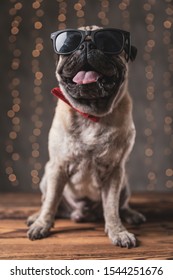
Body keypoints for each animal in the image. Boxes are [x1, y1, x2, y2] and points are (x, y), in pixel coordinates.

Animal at [27, 25, 146, 247]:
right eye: (69, 43)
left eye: (108, 42)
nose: (87, 45)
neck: (91, 114)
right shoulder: (58, 166)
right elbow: (50, 203)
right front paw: (42, 224)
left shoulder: (114, 171)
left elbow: (111, 207)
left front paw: (118, 231)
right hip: (47, 176)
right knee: (49, 201)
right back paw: (36, 217)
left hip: (124, 181)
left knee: (121, 205)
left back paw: (131, 215)